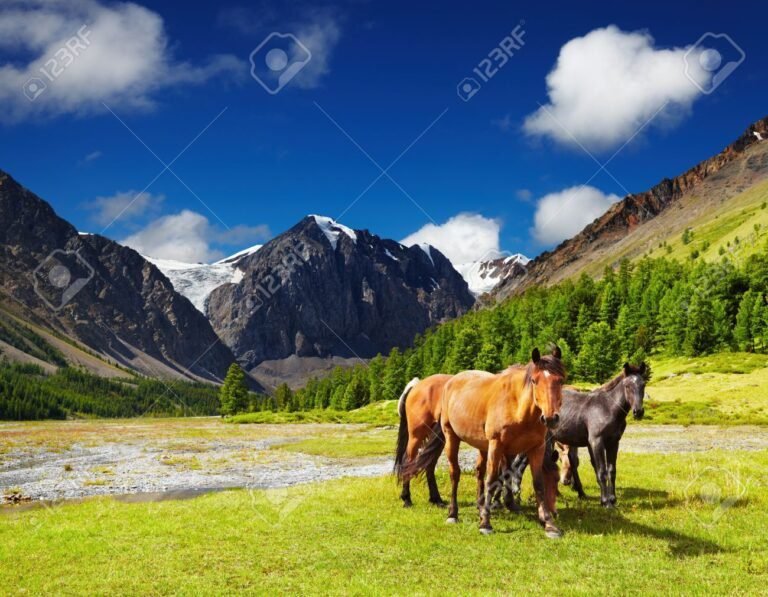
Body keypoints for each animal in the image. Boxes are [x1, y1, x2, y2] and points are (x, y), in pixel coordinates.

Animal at [394, 374, 453, 507]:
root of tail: (416, 385)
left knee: (429, 464)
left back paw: (436, 499)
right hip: (417, 436)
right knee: (408, 461)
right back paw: (407, 499)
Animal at [403, 347, 566, 538]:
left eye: (560, 380)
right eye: (534, 380)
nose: (550, 418)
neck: (518, 407)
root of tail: (451, 381)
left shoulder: (534, 448)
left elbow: (535, 482)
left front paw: (549, 524)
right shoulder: (496, 446)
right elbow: (492, 479)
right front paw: (485, 523)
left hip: (480, 446)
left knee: (476, 472)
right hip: (444, 437)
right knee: (447, 471)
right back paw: (442, 510)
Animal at [509, 362, 649, 508]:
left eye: (643, 385)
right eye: (627, 386)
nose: (638, 412)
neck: (607, 408)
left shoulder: (614, 442)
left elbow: (611, 471)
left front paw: (613, 499)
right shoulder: (596, 442)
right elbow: (602, 471)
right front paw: (606, 502)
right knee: (518, 465)